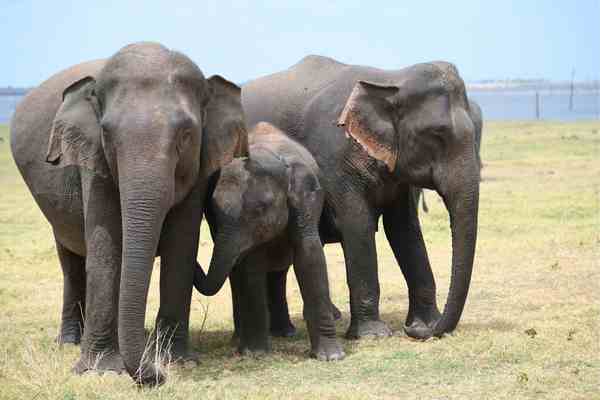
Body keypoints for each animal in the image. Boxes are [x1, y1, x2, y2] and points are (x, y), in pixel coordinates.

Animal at [9, 41, 248, 384]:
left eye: (186, 135)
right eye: (107, 134)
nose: (156, 376)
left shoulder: (199, 165)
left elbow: (181, 245)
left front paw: (177, 361)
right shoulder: (92, 160)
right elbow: (105, 247)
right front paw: (101, 370)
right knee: (70, 260)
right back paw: (70, 341)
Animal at [192, 121, 342, 360]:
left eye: (260, 210)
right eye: (213, 210)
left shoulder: (306, 199)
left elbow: (309, 254)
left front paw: (330, 357)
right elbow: (251, 267)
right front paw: (255, 353)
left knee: (278, 271)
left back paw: (283, 333)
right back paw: (243, 340)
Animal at [241, 54, 480, 340]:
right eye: (437, 134)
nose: (412, 330)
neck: (389, 79)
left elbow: (404, 229)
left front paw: (424, 323)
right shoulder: (333, 159)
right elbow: (358, 224)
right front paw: (373, 335)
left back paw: (287, 331)